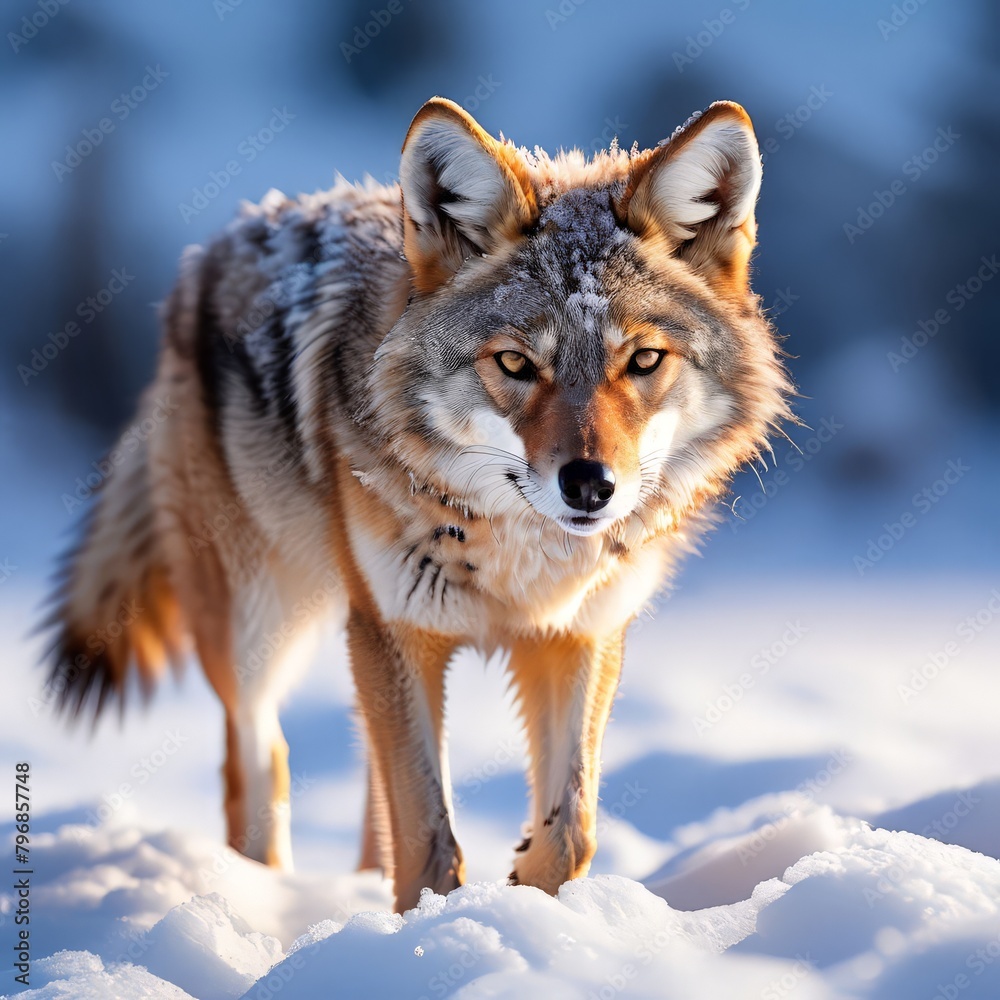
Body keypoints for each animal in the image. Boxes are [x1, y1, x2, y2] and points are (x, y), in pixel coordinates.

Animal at [45, 97, 792, 913]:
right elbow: (431, 842)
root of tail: (212, 249)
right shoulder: (395, 632)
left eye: (644, 360)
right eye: (515, 364)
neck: (518, 557)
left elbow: (572, 830)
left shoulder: (581, 635)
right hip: (258, 629)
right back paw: (262, 898)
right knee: (259, 760)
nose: (591, 485)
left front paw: (525, 899)